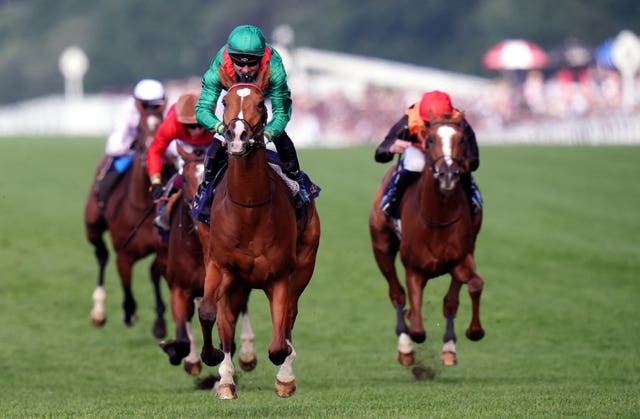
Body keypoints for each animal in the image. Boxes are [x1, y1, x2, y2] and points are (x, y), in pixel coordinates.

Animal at [85, 106, 170, 340]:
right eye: (139, 128)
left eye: (161, 124)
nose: (151, 151)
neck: (141, 204)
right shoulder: (124, 253)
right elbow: (126, 285)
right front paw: (129, 314)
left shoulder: (163, 247)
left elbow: (154, 273)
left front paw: (160, 323)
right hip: (92, 225)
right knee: (101, 254)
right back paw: (98, 311)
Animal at [160, 144, 258, 378]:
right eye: (184, 179)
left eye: (208, 175)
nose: (199, 212)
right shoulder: (180, 287)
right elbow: (183, 337)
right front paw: (180, 353)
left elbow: (226, 332)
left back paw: (247, 355)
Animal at [198, 65, 320, 400]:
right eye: (225, 102)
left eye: (260, 105)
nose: (237, 137)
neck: (248, 211)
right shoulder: (220, 265)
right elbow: (209, 312)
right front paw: (215, 361)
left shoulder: (279, 276)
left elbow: (279, 341)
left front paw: (284, 374)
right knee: (226, 318)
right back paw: (226, 379)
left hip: (304, 264)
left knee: (289, 317)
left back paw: (284, 376)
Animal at [370, 108, 484, 368]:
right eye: (430, 140)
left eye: (462, 139)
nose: (448, 175)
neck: (438, 217)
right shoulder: (414, 268)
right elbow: (418, 330)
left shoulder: (461, 258)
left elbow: (467, 290)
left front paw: (471, 334)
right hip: (381, 247)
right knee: (397, 294)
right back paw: (405, 349)